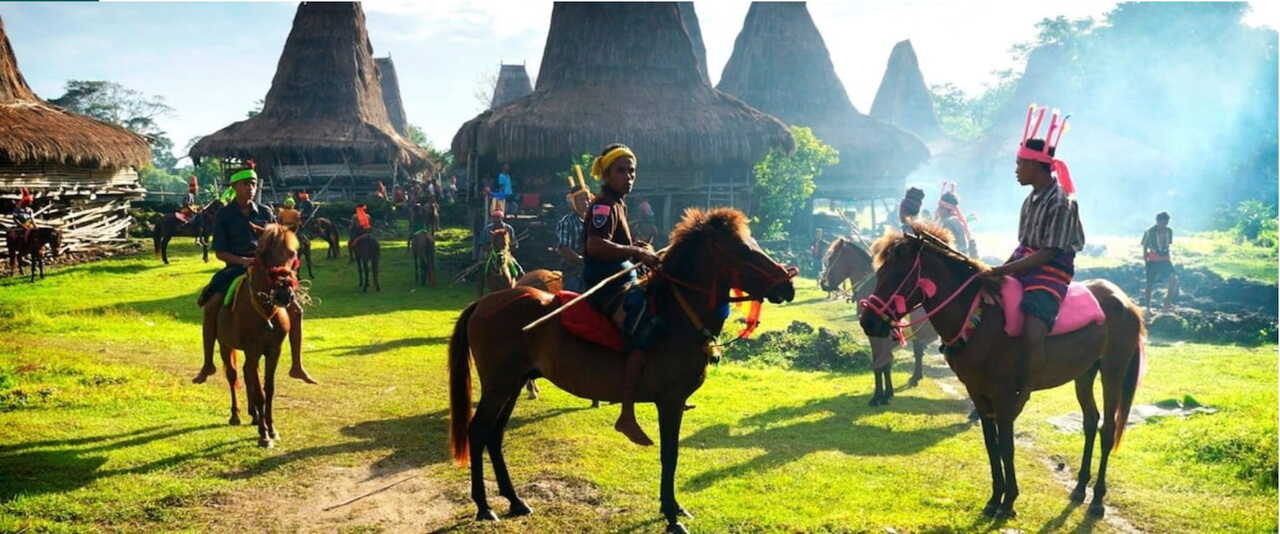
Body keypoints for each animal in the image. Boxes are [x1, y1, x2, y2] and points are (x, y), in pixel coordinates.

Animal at [218, 222, 303, 448]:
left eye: (293, 253)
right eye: (262, 254)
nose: (284, 294)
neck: (265, 314)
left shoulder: (273, 351)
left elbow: (268, 389)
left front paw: (271, 429)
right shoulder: (253, 351)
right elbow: (260, 392)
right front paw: (264, 435)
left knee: (248, 374)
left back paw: (255, 416)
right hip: (224, 346)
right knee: (233, 376)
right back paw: (236, 415)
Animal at [445, 206, 793, 530]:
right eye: (742, 250)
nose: (787, 284)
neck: (675, 316)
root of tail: (484, 303)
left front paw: (673, 507)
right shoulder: (670, 401)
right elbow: (670, 454)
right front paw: (671, 514)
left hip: (514, 383)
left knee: (494, 434)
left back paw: (515, 500)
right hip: (499, 384)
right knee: (478, 431)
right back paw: (483, 506)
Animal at [819, 236, 942, 404]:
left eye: (832, 258)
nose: (823, 283)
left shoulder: (880, 337)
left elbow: (882, 364)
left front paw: (879, 396)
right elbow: (882, 363)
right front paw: (886, 393)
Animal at [855, 220, 1146, 517]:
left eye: (897, 273)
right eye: (880, 271)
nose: (868, 322)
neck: (979, 318)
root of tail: (1127, 303)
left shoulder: (1005, 396)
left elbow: (1007, 446)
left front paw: (1009, 501)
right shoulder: (978, 393)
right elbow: (991, 445)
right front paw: (996, 498)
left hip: (1113, 369)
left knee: (1107, 428)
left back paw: (1097, 498)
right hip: (1085, 372)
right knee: (1090, 421)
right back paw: (1079, 487)